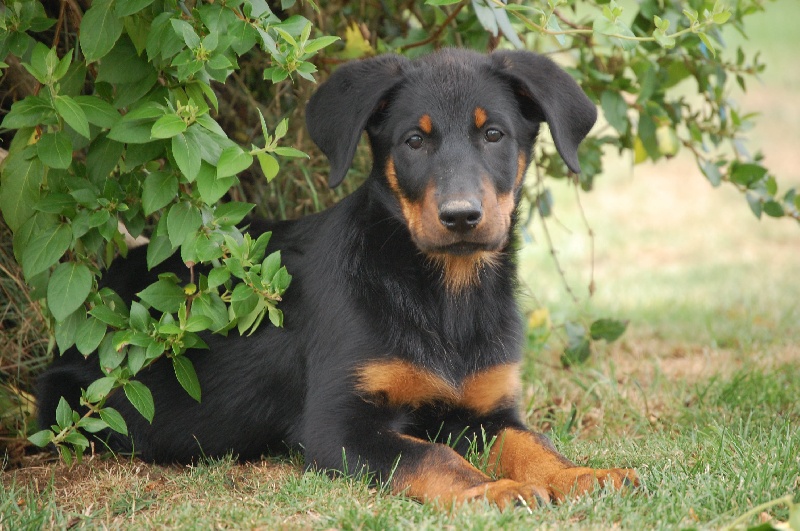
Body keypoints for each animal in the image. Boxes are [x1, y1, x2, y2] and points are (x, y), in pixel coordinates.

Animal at [36, 50, 636, 512]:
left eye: (494, 135)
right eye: (413, 142)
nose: (461, 217)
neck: (446, 295)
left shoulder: (486, 409)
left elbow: (531, 442)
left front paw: (581, 475)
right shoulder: (337, 427)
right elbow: (432, 455)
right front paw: (490, 492)